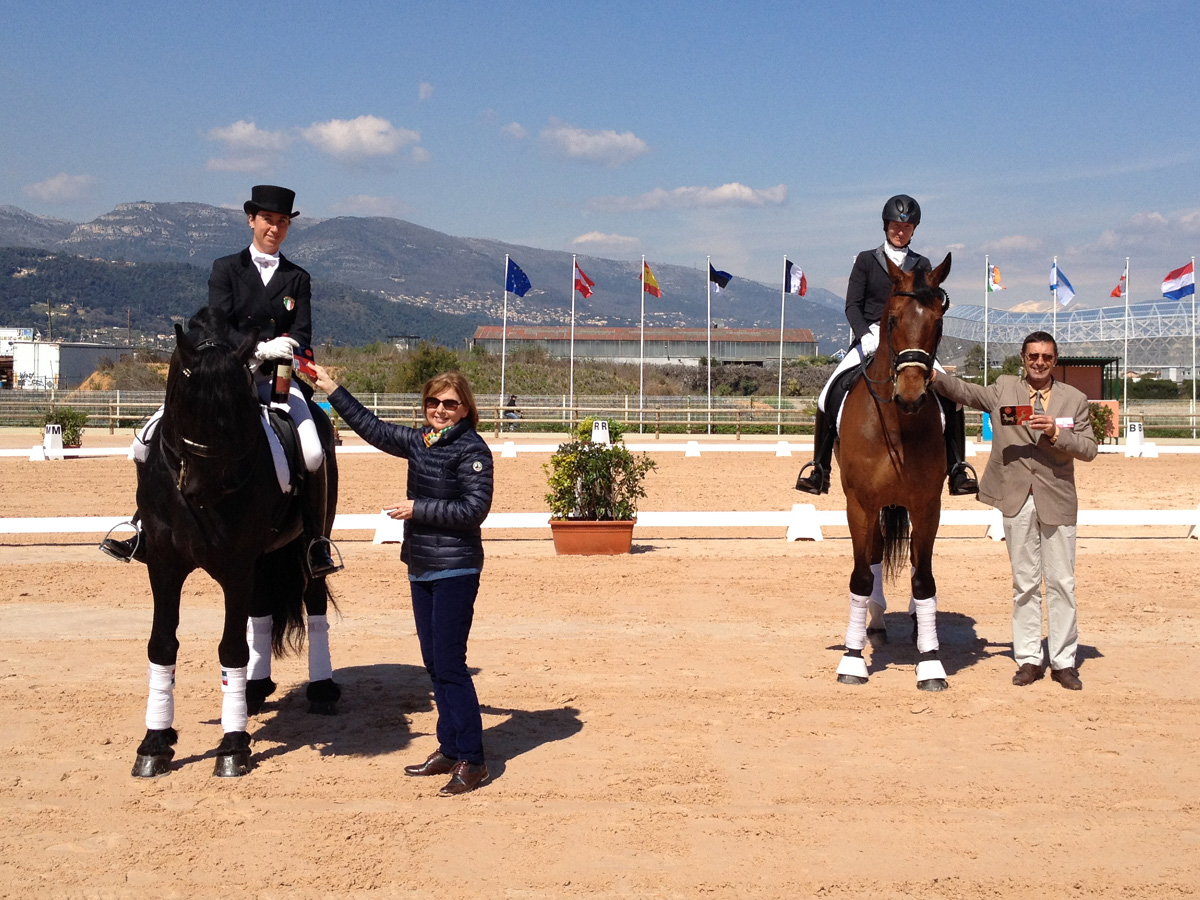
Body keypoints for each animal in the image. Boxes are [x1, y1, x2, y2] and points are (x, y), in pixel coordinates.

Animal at [131, 307, 340, 778]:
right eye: (185, 399)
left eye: (236, 407)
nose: (202, 490)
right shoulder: (164, 565)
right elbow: (161, 644)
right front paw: (155, 742)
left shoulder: (235, 566)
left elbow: (231, 649)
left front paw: (232, 746)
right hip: (261, 560)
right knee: (261, 609)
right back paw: (256, 690)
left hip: (306, 544)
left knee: (314, 601)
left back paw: (320, 690)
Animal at [833, 253, 953, 692]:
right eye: (893, 319)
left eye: (938, 320)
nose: (912, 394)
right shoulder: (859, 504)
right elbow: (860, 577)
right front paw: (852, 661)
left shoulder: (927, 505)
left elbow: (924, 579)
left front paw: (930, 662)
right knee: (874, 555)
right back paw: (876, 622)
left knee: (911, 559)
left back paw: (917, 622)